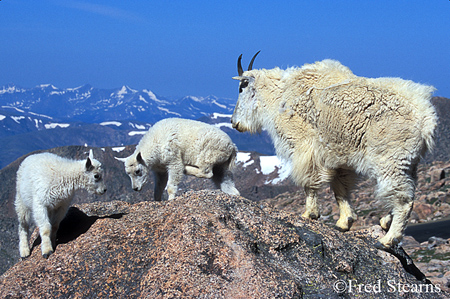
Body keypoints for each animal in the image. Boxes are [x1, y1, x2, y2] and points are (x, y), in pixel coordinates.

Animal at [232, 52, 436, 250]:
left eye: (242, 88)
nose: (234, 123)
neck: (279, 96)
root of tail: (426, 117)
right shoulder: (339, 158)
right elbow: (340, 187)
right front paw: (344, 222)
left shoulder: (304, 147)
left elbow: (309, 181)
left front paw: (309, 214)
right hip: (409, 162)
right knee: (408, 190)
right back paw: (385, 221)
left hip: (391, 159)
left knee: (403, 199)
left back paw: (387, 240)